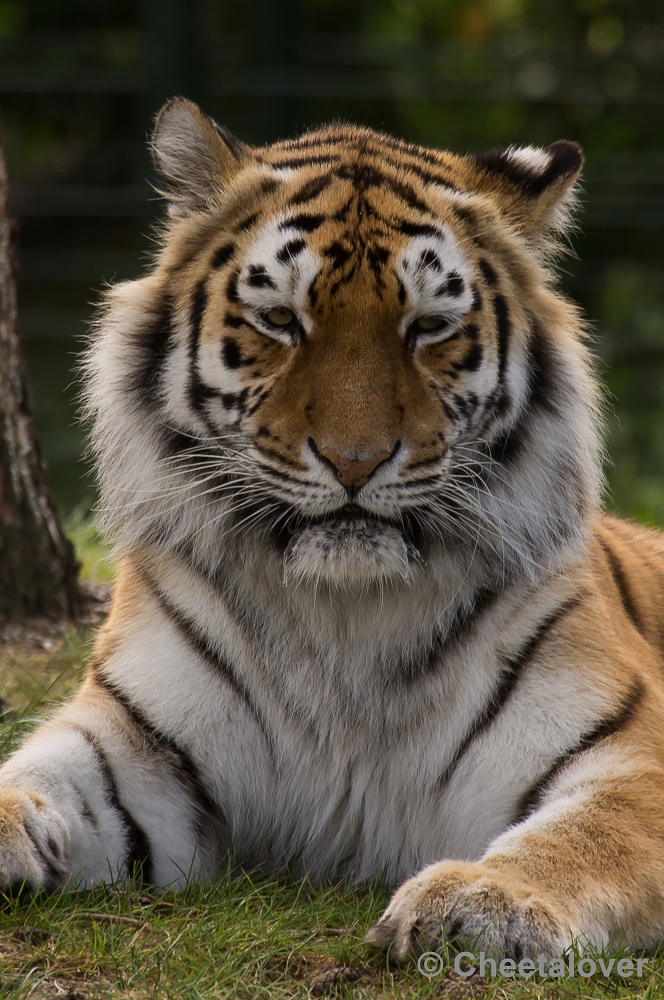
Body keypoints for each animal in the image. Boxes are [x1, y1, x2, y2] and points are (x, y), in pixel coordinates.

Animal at [1, 95, 664, 968]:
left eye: (428, 327)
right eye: (281, 320)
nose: (356, 461)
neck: (346, 613)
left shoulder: (629, 750)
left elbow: (584, 835)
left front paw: (482, 900)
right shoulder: (134, 744)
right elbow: (37, 772)